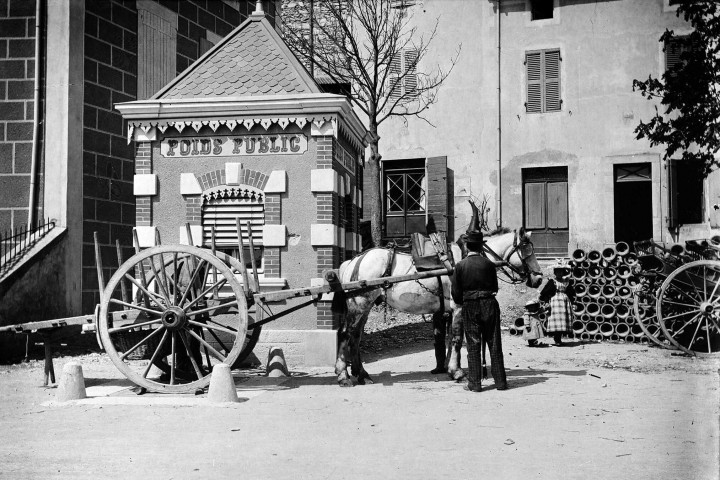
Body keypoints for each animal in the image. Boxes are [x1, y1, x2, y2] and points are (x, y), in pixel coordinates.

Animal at [332, 228, 540, 386]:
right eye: (526, 250)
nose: (538, 278)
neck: (464, 258)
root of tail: (353, 261)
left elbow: (449, 339)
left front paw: (449, 368)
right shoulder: (458, 307)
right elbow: (457, 338)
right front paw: (457, 372)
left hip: (364, 307)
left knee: (355, 336)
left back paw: (361, 374)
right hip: (359, 305)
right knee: (345, 334)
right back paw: (343, 375)